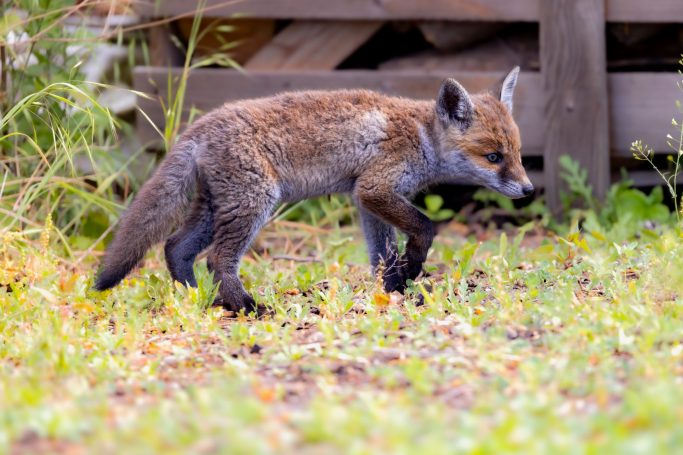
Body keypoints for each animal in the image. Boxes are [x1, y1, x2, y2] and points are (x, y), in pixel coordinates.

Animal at [93, 67, 532, 314]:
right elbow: (425, 227)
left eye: (517, 153)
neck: (421, 135)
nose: (528, 190)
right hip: (253, 204)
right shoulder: (376, 188)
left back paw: (198, 299)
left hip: (215, 208)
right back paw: (246, 308)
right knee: (216, 259)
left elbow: (382, 257)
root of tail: (199, 127)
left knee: (175, 248)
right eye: (493, 157)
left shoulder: (366, 199)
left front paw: (395, 292)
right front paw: (411, 270)